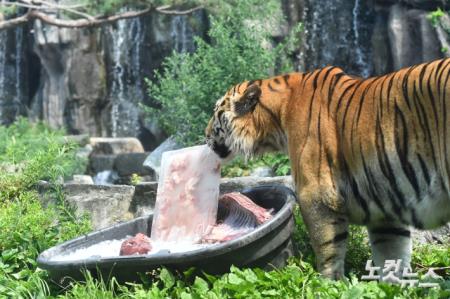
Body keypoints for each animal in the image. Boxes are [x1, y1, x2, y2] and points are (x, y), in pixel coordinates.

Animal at [206, 59, 450, 282]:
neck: (277, 118)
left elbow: (328, 248)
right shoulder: (385, 203)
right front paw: (392, 287)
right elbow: (392, 255)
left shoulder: (316, 195)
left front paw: (329, 284)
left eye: (216, 112)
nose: (205, 134)